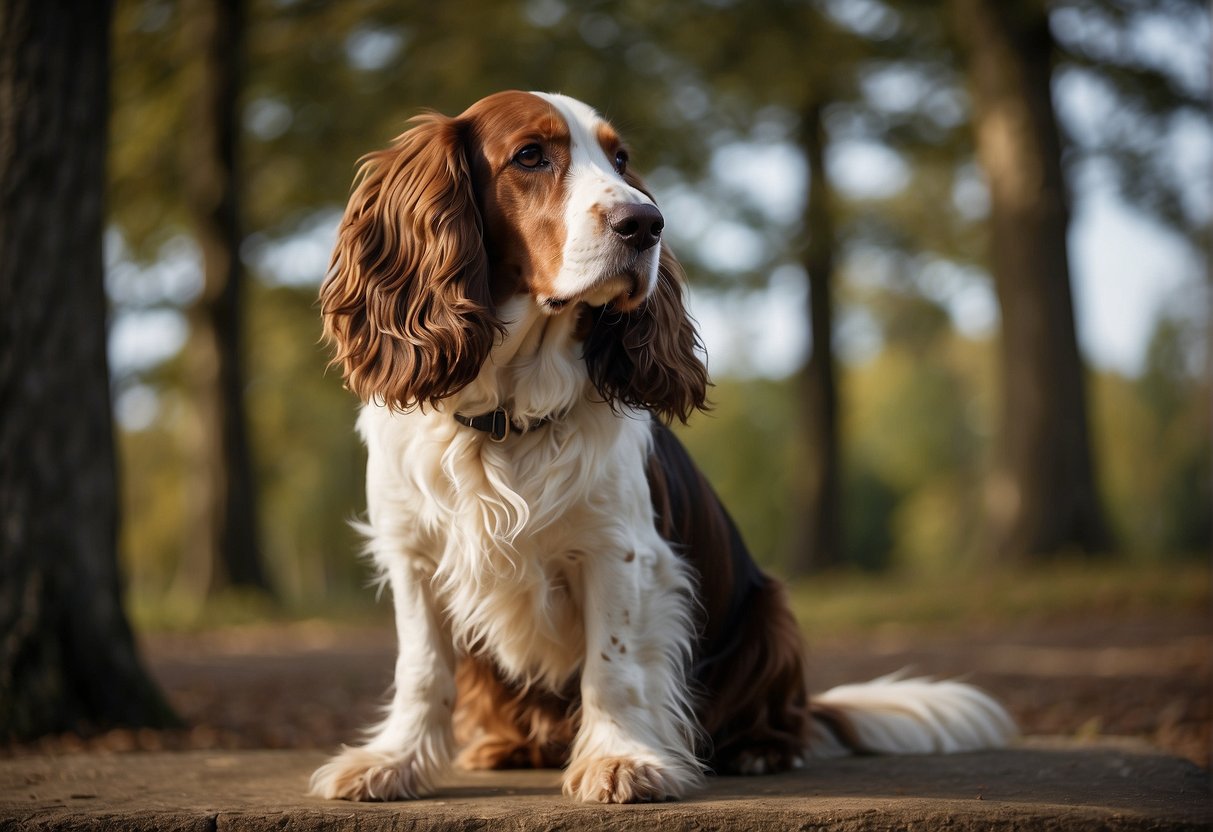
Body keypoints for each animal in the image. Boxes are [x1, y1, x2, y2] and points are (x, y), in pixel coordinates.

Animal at [310, 87, 1014, 805]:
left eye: (620, 158)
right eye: (530, 155)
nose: (645, 222)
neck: (507, 416)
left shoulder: (618, 551)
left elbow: (613, 665)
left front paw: (619, 758)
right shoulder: (414, 556)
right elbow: (423, 670)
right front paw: (393, 762)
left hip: (770, 616)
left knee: (780, 718)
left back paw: (760, 749)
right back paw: (508, 745)